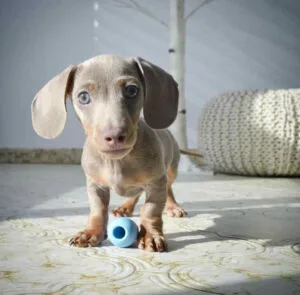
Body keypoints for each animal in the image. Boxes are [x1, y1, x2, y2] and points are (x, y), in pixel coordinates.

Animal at [30, 55, 185, 252]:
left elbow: (150, 210)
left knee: (169, 188)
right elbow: (98, 210)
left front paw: (150, 234)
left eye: (132, 90)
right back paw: (125, 207)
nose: (115, 135)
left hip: (171, 170)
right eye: (83, 97)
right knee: (136, 193)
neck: (116, 162)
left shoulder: (156, 182)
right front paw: (91, 232)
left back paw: (173, 206)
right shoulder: (95, 185)